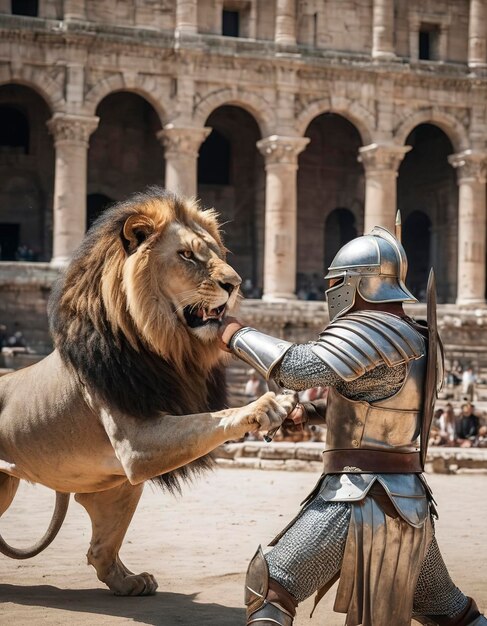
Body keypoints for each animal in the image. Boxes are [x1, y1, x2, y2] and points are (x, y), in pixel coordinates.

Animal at [0, 186, 294, 596]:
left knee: (98, 546)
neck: (167, 348)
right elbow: (210, 418)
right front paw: (264, 407)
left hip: (115, 487)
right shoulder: (135, 445)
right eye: (186, 255)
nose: (235, 284)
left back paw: (128, 582)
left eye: (216, 253)